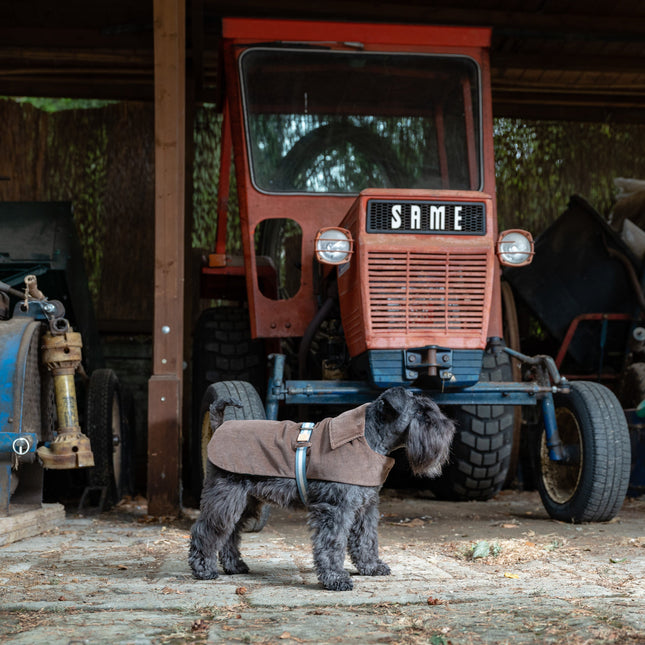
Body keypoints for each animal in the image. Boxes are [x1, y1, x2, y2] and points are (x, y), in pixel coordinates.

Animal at [189, 384, 456, 592]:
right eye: (422, 412)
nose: (450, 429)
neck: (368, 438)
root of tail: (219, 427)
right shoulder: (336, 509)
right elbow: (332, 544)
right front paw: (336, 579)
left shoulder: (365, 508)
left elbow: (367, 539)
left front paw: (371, 567)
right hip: (226, 497)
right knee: (205, 530)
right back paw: (203, 570)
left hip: (246, 501)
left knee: (230, 533)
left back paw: (234, 566)